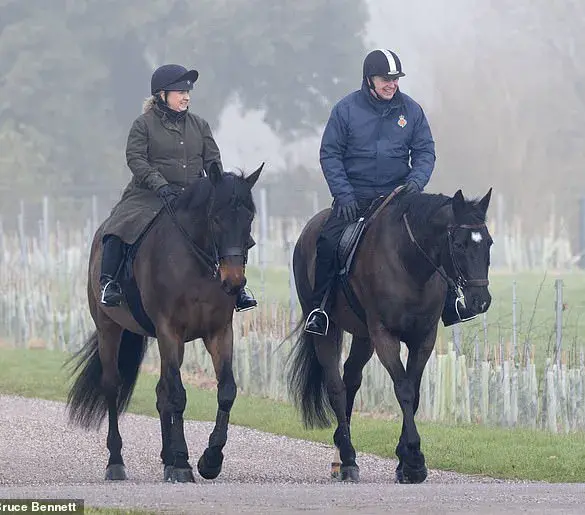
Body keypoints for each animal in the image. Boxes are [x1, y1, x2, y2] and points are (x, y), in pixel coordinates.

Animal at [65, 164, 262, 484]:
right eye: (216, 217)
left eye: (249, 218)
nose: (234, 281)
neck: (197, 266)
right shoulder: (170, 331)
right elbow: (179, 396)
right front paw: (183, 463)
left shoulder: (219, 333)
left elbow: (226, 391)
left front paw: (210, 460)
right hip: (110, 329)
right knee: (112, 386)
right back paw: (116, 462)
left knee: (161, 393)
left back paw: (167, 459)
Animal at [288, 188, 492, 484]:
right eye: (460, 244)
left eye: (488, 242)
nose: (481, 301)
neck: (409, 264)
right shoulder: (385, 336)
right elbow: (404, 389)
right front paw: (415, 460)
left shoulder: (423, 339)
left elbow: (414, 393)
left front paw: (403, 460)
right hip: (327, 331)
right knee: (336, 387)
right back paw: (348, 458)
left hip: (364, 338)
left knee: (351, 379)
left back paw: (340, 455)